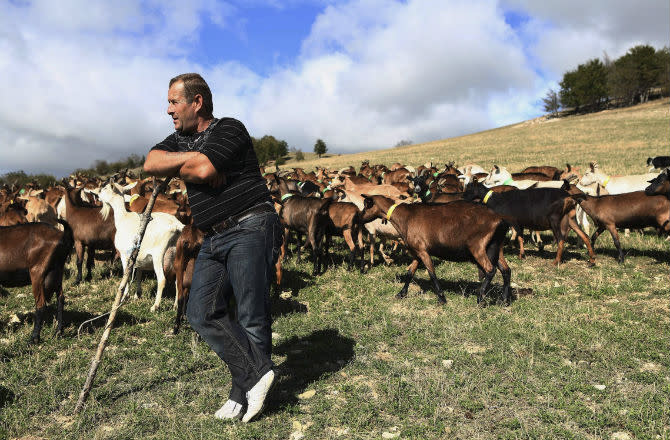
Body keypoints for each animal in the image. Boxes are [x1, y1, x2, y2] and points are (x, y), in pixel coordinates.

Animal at [362, 194, 516, 304]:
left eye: (366, 205)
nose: (360, 218)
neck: (404, 217)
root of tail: (500, 221)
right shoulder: (417, 252)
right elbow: (410, 272)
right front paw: (401, 294)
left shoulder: (423, 251)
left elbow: (431, 273)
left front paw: (442, 298)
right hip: (496, 247)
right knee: (506, 270)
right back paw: (504, 300)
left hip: (478, 247)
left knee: (490, 269)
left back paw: (480, 298)